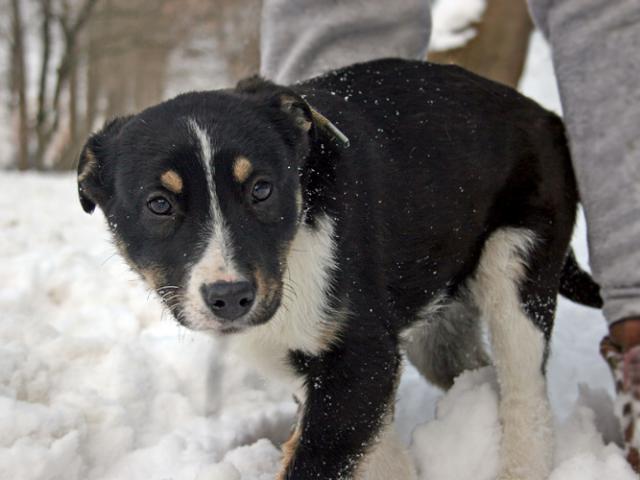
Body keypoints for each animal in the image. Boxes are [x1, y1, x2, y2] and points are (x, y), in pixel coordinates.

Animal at [77, 59, 604, 480]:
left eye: (262, 189)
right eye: (159, 204)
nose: (230, 297)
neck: (296, 250)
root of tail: (547, 116)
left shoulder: (361, 356)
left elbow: (317, 463)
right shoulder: (319, 365)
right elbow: (376, 454)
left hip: (517, 264)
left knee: (525, 397)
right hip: (440, 327)